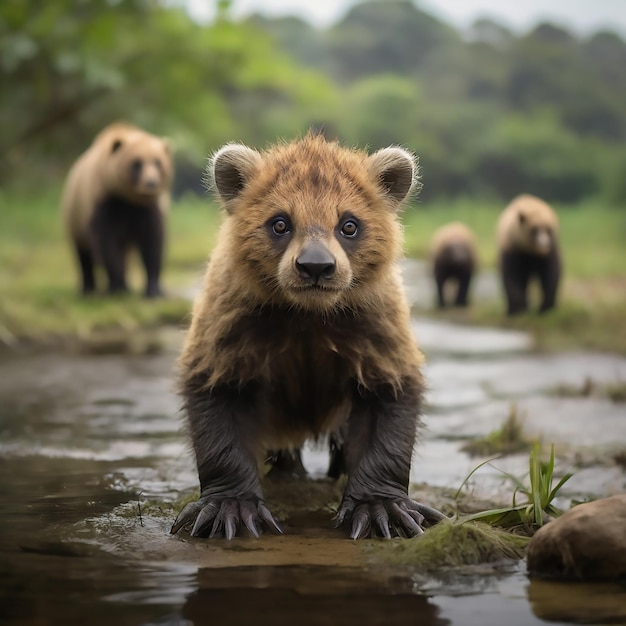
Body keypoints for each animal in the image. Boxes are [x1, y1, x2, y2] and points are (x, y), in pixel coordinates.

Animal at [61, 123, 173, 298]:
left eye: (158, 163)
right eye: (137, 163)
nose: (151, 183)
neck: (130, 199)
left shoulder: (151, 206)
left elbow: (153, 241)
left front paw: (154, 290)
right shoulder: (104, 199)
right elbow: (107, 242)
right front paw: (118, 288)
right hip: (75, 214)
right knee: (83, 254)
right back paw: (88, 289)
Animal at [169, 134, 444, 540]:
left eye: (349, 224)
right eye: (280, 222)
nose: (316, 266)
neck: (307, 315)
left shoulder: (373, 329)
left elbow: (386, 400)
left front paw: (382, 510)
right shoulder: (234, 327)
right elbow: (218, 397)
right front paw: (229, 509)